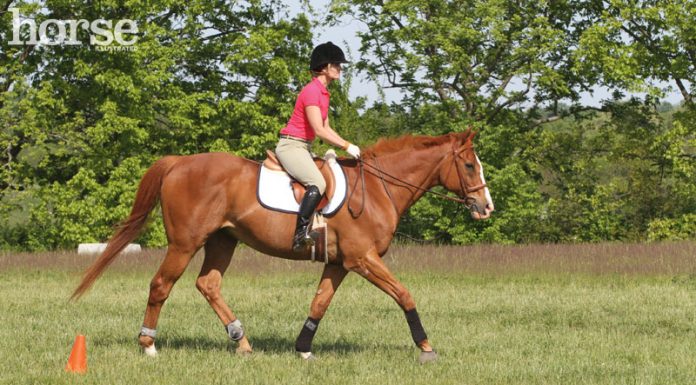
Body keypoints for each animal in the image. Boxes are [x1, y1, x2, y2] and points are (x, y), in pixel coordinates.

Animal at [73, 130, 492, 362]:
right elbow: (404, 294)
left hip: (223, 241)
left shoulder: (340, 262)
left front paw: (303, 348)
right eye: (470, 166)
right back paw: (148, 345)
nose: (485, 207)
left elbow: (319, 303)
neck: (376, 188)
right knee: (161, 285)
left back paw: (241, 341)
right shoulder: (363, 258)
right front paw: (426, 347)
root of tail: (179, 163)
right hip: (185, 243)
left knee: (208, 284)